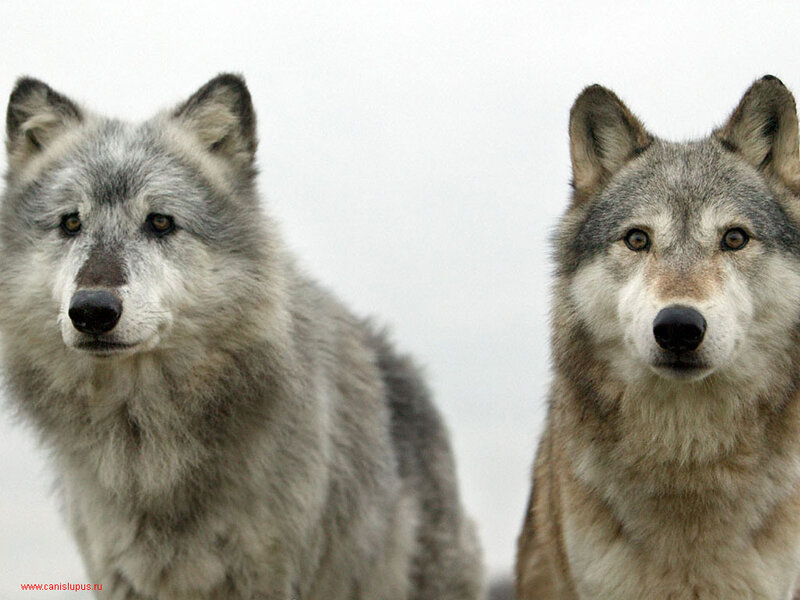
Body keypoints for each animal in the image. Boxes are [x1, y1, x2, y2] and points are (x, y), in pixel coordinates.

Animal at [0, 74, 484, 600]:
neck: (147, 446)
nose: (91, 311)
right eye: (71, 222)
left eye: (160, 222)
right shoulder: (118, 576)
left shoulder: (268, 574)